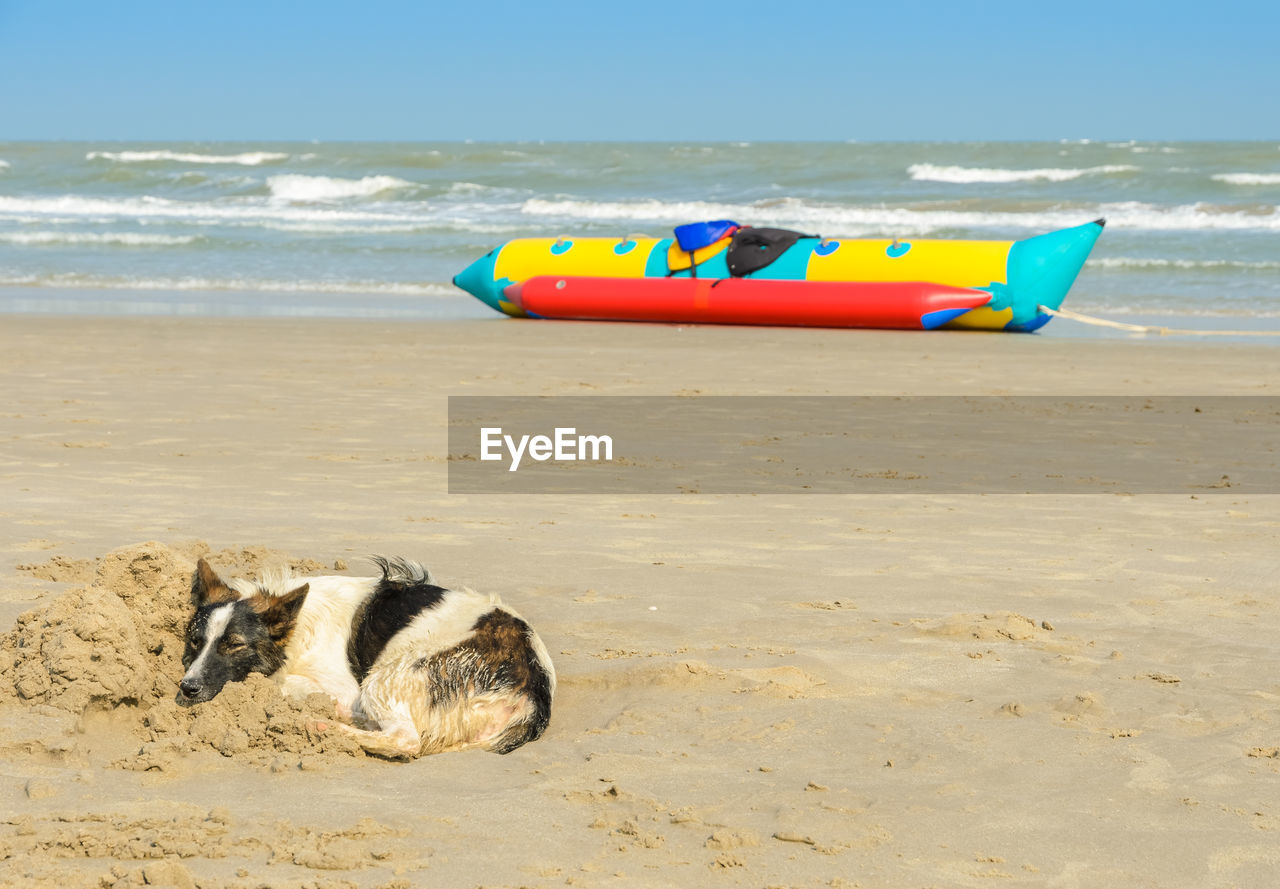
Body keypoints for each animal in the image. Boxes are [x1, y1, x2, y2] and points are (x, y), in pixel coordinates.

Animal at [179, 557, 555, 757]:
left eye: (234, 645)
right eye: (195, 641)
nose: (187, 688)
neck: (299, 624)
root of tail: (534, 693)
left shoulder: (343, 686)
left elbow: (281, 681)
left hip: (386, 676)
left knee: (405, 740)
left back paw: (323, 724)